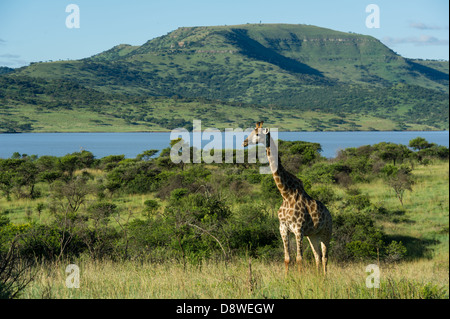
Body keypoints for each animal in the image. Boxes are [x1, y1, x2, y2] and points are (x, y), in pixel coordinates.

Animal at [243, 121, 330, 276]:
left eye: (257, 133)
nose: (244, 142)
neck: (286, 194)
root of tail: (330, 214)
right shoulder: (283, 228)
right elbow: (287, 258)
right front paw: (287, 279)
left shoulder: (298, 229)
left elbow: (299, 259)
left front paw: (300, 280)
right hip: (313, 235)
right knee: (317, 256)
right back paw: (319, 278)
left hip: (326, 233)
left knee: (325, 257)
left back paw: (325, 278)